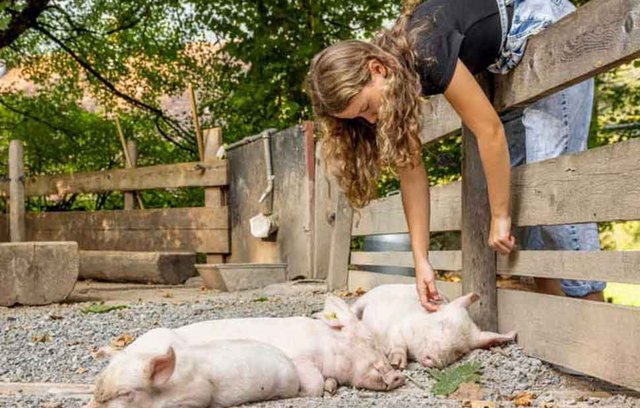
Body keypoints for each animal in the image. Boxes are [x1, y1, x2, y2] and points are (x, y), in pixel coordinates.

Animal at [350, 286, 516, 368]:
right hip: (365, 298)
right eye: (442, 324)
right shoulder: (397, 326)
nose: (435, 359)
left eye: (460, 352)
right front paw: (397, 364)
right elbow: (398, 343)